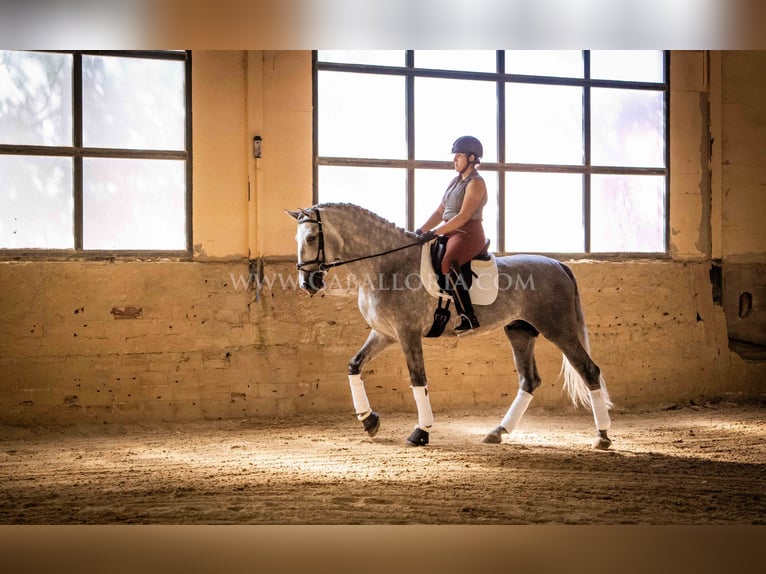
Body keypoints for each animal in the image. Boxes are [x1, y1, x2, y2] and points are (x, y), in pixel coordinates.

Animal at [284, 202, 616, 450]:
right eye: (297, 240)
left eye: (311, 238)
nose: (308, 283)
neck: (386, 267)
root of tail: (558, 264)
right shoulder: (385, 333)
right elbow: (354, 365)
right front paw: (369, 420)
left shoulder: (407, 334)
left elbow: (418, 379)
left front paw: (421, 432)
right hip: (520, 331)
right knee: (529, 380)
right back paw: (497, 432)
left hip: (558, 329)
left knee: (589, 371)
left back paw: (602, 437)